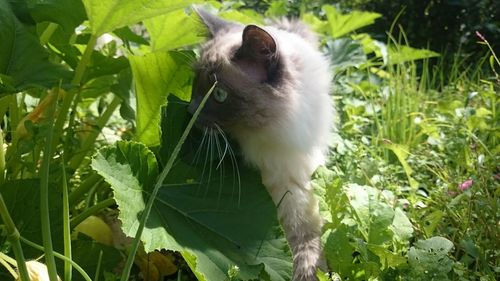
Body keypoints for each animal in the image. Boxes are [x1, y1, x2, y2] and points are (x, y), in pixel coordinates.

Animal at [189, 7, 334, 280]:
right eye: (195, 84)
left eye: (219, 94)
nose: (190, 111)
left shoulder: (296, 184)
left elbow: (306, 240)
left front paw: (309, 271)